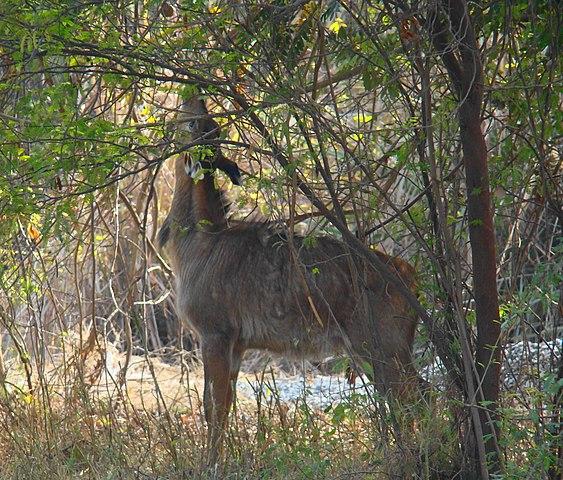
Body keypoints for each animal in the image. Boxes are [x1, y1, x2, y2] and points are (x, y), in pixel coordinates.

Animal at [159, 94, 424, 462]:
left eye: (202, 124)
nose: (196, 97)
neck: (200, 242)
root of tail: (410, 275)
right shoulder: (237, 343)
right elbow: (224, 404)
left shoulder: (215, 333)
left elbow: (214, 408)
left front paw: (210, 465)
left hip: (383, 347)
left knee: (415, 397)